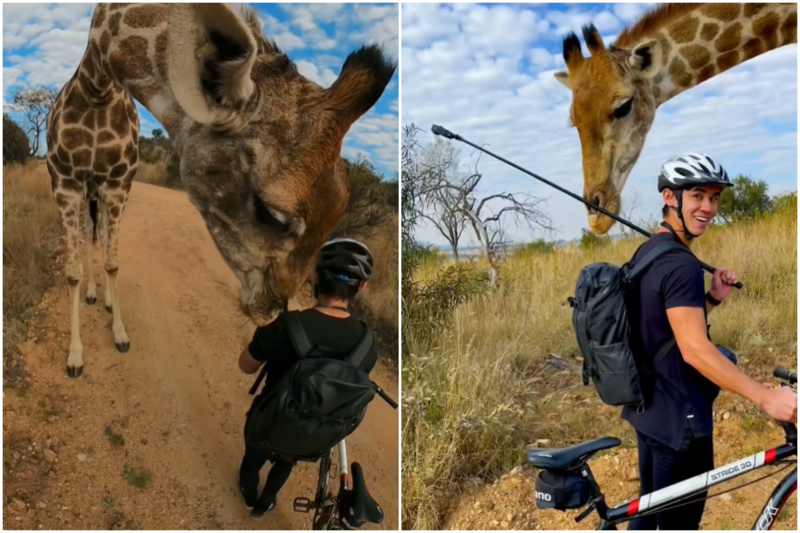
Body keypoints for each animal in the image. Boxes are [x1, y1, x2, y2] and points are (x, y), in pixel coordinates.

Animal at [45, 4, 396, 378]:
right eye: (270, 214)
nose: (271, 311)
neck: (96, 86)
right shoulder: (64, 182)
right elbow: (72, 271)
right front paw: (75, 356)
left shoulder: (118, 184)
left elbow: (113, 262)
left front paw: (119, 332)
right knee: (88, 235)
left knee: (95, 235)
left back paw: (106, 300)